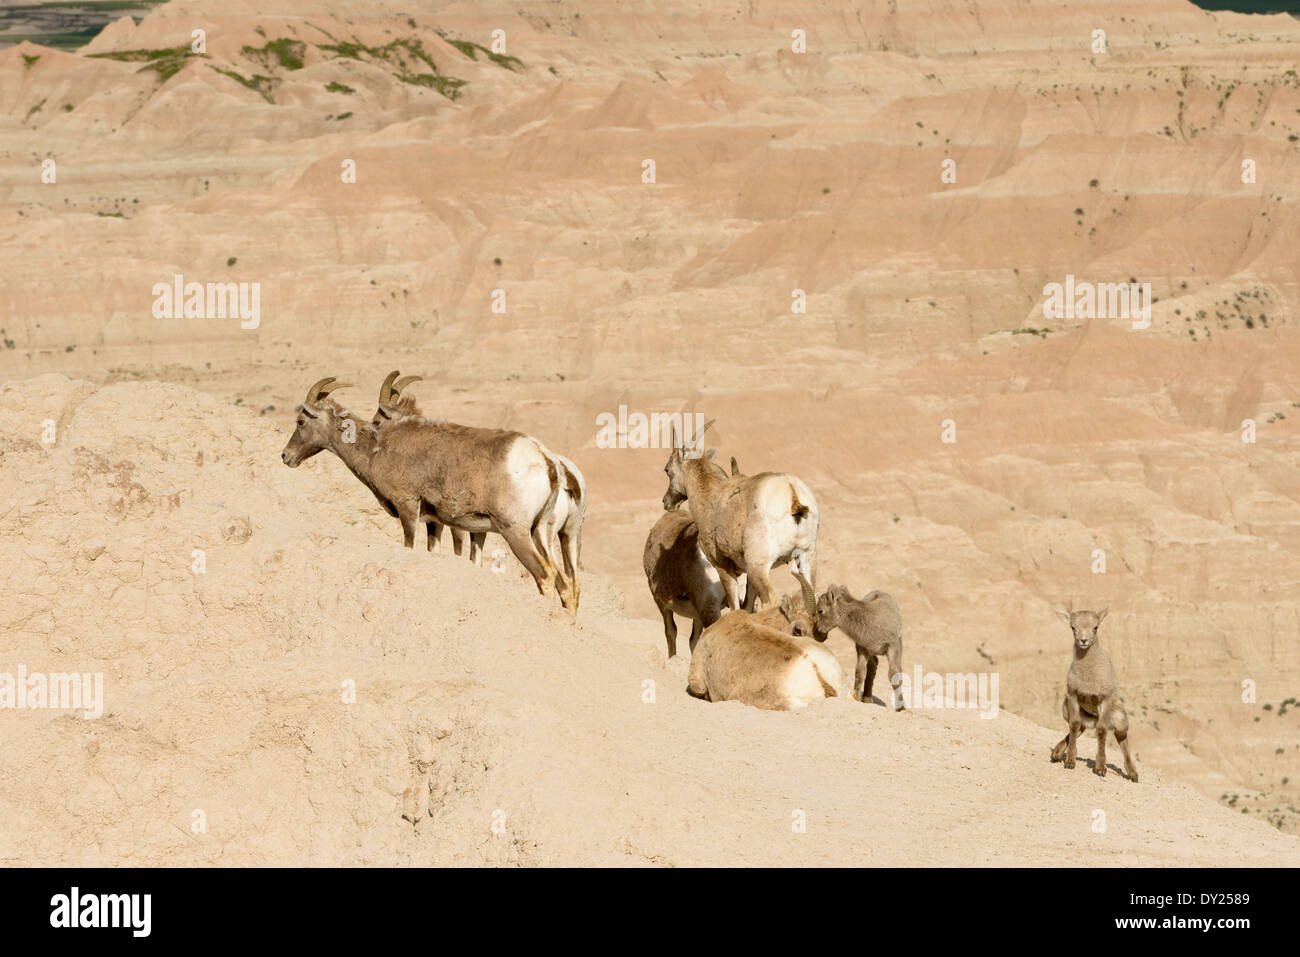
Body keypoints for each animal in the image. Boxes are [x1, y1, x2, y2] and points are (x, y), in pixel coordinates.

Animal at [279, 377, 569, 608]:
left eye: (301, 421)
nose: (286, 456)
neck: (377, 449)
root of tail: (546, 460)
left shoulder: (408, 505)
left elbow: (409, 544)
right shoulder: (434, 522)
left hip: (515, 531)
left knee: (545, 575)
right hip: (541, 532)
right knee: (564, 582)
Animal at [660, 421, 821, 613]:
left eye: (667, 469)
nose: (666, 502)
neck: (709, 497)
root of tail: (792, 494)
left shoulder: (722, 564)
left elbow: (735, 606)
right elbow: (747, 606)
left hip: (759, 567)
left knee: (769, 601)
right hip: (806, 558)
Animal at [811, 582, 904, 712]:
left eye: (820, 610)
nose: (817, 633)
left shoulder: (894, 646)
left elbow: (894, 674)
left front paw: (901, 709)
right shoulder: (862, 649)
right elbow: (860, 673)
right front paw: (857, 699)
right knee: (873, 666)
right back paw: (867, 699)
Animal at [1045, 608, 1138, 780]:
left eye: (1095, 627)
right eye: (1073, 627)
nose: (1083, 640)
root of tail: (1091, 721)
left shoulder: (1105, 701)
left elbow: (1101, 731)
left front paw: (1100, 769)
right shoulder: (1073, 697)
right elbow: (1073, 726)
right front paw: (1070, 762)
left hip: (1120, 721)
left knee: (1122, 740)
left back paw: (1133, 775)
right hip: (1072, 714)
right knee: (1076, 731)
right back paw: (1055, 754)